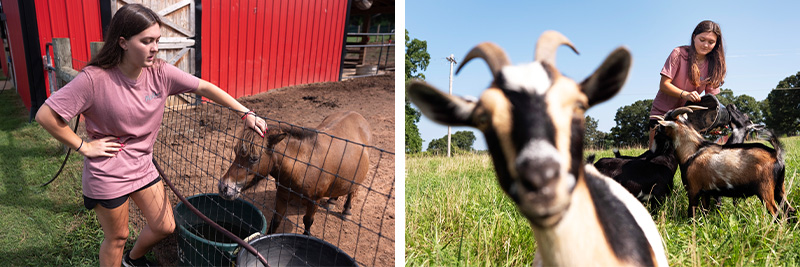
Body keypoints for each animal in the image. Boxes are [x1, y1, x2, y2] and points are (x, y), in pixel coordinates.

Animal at [217, 111, 370, 234]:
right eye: (235, 151)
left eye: (254, 158)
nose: (224, 187)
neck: (303, 164)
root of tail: (357, 115)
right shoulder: (282, 195)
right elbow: (276, 221)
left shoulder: (314, 201)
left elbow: (308, 222)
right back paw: (332, 200)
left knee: (353, 191)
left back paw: (347, 211)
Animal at [656, 107, 792, 220]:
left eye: (664, 122)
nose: (656, 128)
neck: (692, 151)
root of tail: (776, 155)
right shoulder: (706, 193)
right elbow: (705, 213)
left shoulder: (693, 190)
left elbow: (692, 214)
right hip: (780, 188)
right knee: (789, 210)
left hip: (765, 190)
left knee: (777, 213)